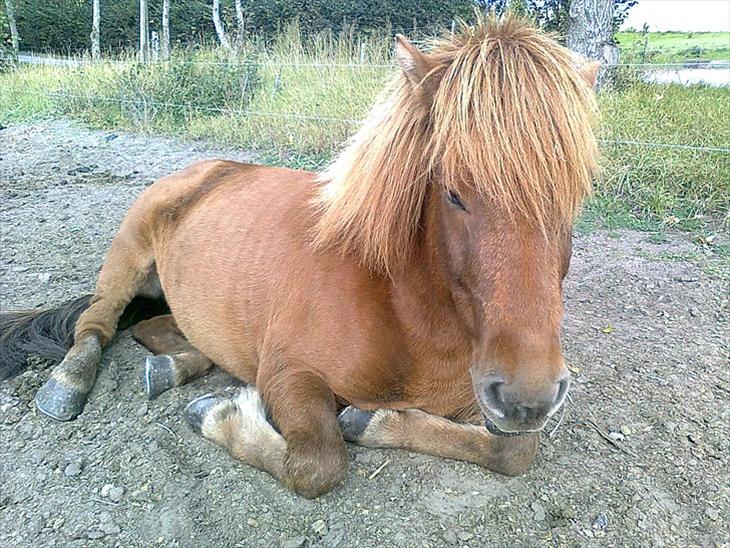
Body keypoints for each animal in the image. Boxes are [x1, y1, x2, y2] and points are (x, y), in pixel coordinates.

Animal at [0, 15, 600, 498]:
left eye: (577, 194)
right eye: (454, 193)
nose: (528, 397)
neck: (402, 310)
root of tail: (206, 170)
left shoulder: (482, 402)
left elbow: (516, 450)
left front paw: (373, 422)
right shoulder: (292, 375)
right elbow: (316, 463)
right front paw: (221, 415)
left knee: (158, 331)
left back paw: (177, 367)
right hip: (126, 255)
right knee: (96, 325)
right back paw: (69, 384)